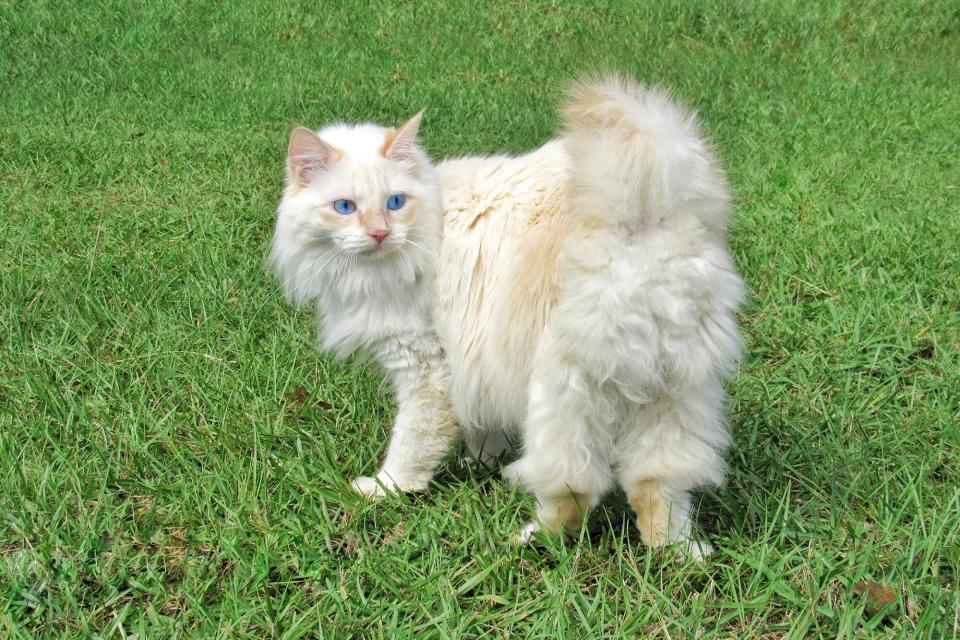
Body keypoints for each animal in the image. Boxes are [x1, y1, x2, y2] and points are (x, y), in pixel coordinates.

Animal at [270, 74, 744, 556]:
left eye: (395, 202)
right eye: (345, 207)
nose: (380, 233)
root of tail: (639, 215)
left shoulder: (426, 369)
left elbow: (412, 443)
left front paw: (387, 488)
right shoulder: (474, 367)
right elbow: (482, 425)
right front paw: (483, 461)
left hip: (564, 393)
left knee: (577, 488)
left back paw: (532, 539)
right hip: (673, 390)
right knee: (656, 486)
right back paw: (679, 554)